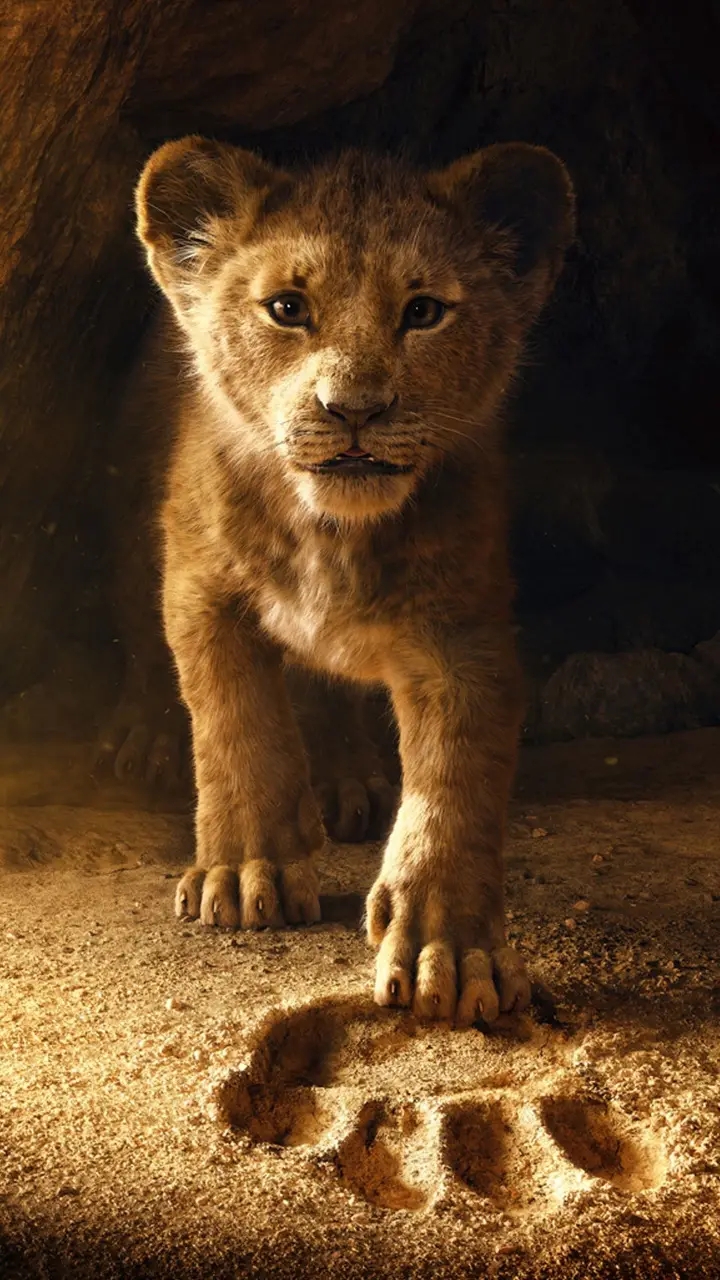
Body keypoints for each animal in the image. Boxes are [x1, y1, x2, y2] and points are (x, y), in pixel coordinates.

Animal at [129, 136, 574, 1024]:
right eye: (287, 308)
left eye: (424, 311)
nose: (355, 409)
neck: (331, 532)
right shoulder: (200, 587)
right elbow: (236, 725)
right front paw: (246, 871)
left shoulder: (463, 633)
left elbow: (454, 785)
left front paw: (450, 949)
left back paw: (345, 782)